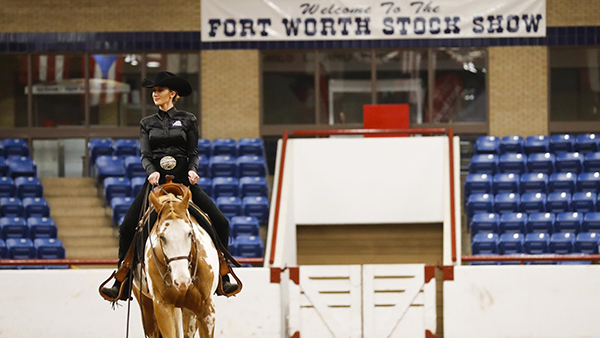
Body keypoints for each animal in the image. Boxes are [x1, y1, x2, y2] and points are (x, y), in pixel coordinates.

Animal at [134, 186, 220, 338]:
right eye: (162, 237)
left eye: (189, 233)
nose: (182, 281)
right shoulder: (162, 306)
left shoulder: (206, 308)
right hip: (146, 306)